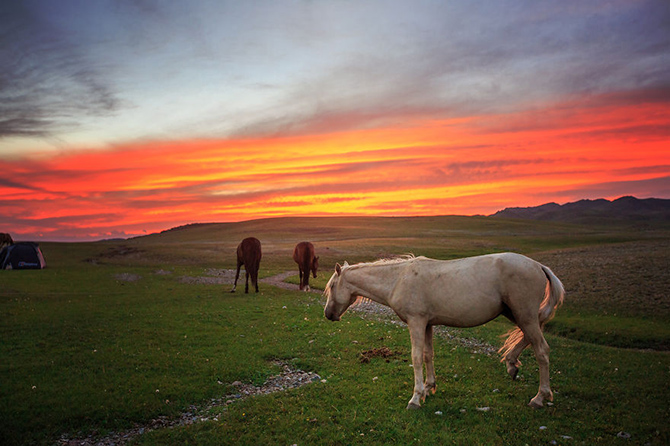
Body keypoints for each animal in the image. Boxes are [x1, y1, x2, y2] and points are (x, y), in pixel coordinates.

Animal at [322, 253, 564, 410]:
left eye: (332, 287)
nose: (328, 314)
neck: (398, 279)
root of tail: (539, 266)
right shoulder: (427, 324)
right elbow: (428, 355)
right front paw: (429, 387)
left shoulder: (416, 322)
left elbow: (417, 357)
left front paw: (415, 398)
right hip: (518, 314)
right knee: (528, 338)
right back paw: (512, 363)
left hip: (524, 314)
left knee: (542, 350)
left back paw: (539, 397)